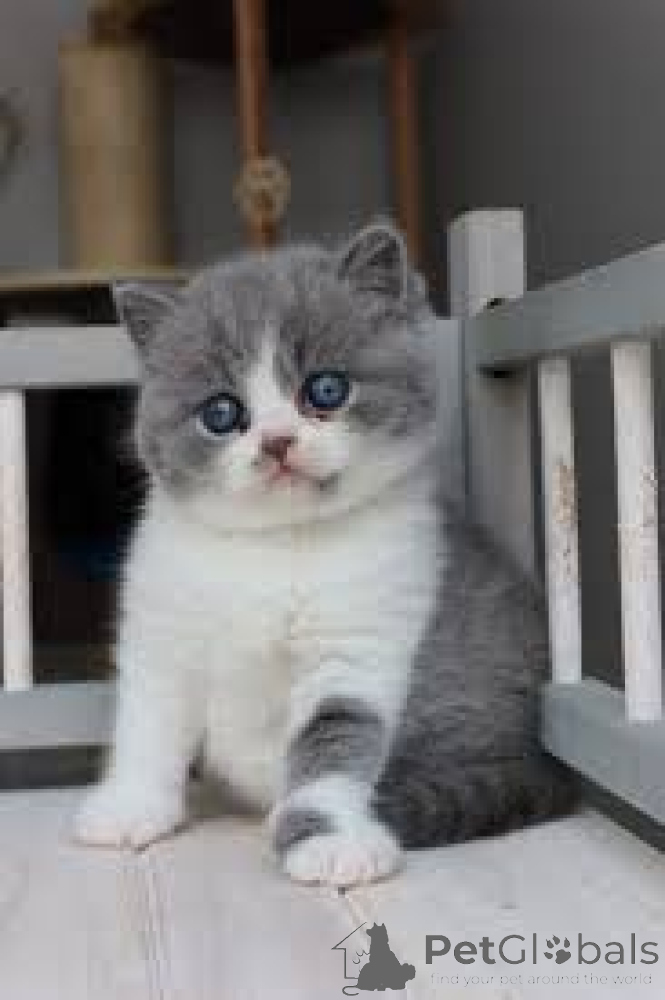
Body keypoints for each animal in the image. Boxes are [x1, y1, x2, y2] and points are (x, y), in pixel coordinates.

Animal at [75, 221, 575, 887]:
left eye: (327, 389)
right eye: (221, 413)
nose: (277, 442)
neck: (278, 544)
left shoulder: (361, 641)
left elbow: (335, 739)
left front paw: (329, 839)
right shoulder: (162, 627)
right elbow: (149, 723)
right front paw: (131, 807)